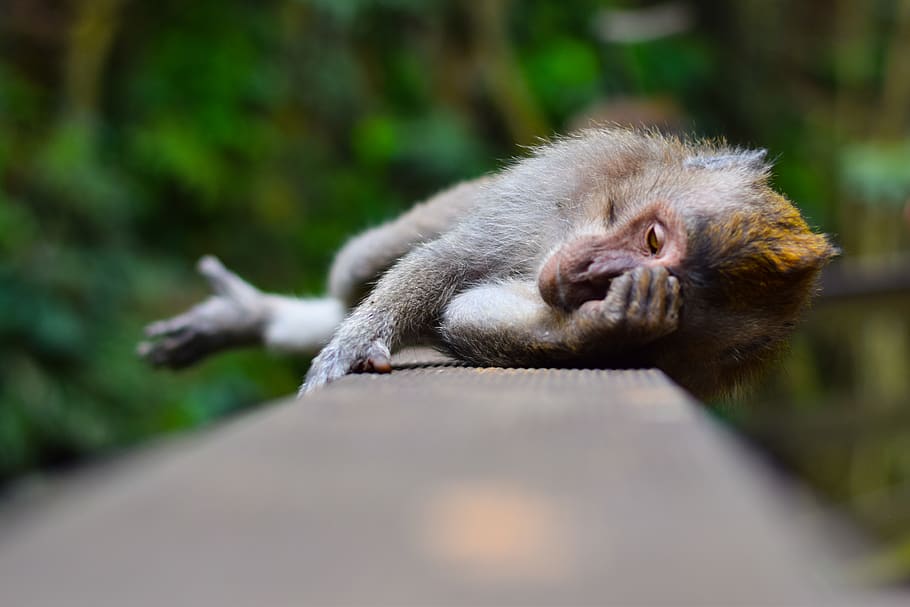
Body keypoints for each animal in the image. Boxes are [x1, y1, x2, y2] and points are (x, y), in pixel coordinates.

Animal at [141, 127, 840, 400]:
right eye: (652, 240)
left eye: (675, 292)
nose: (588, 274)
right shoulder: (552, 194)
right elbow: (450, 269)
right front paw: (353, 346)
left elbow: (468, 318)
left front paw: (614, 323)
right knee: (362, 265)